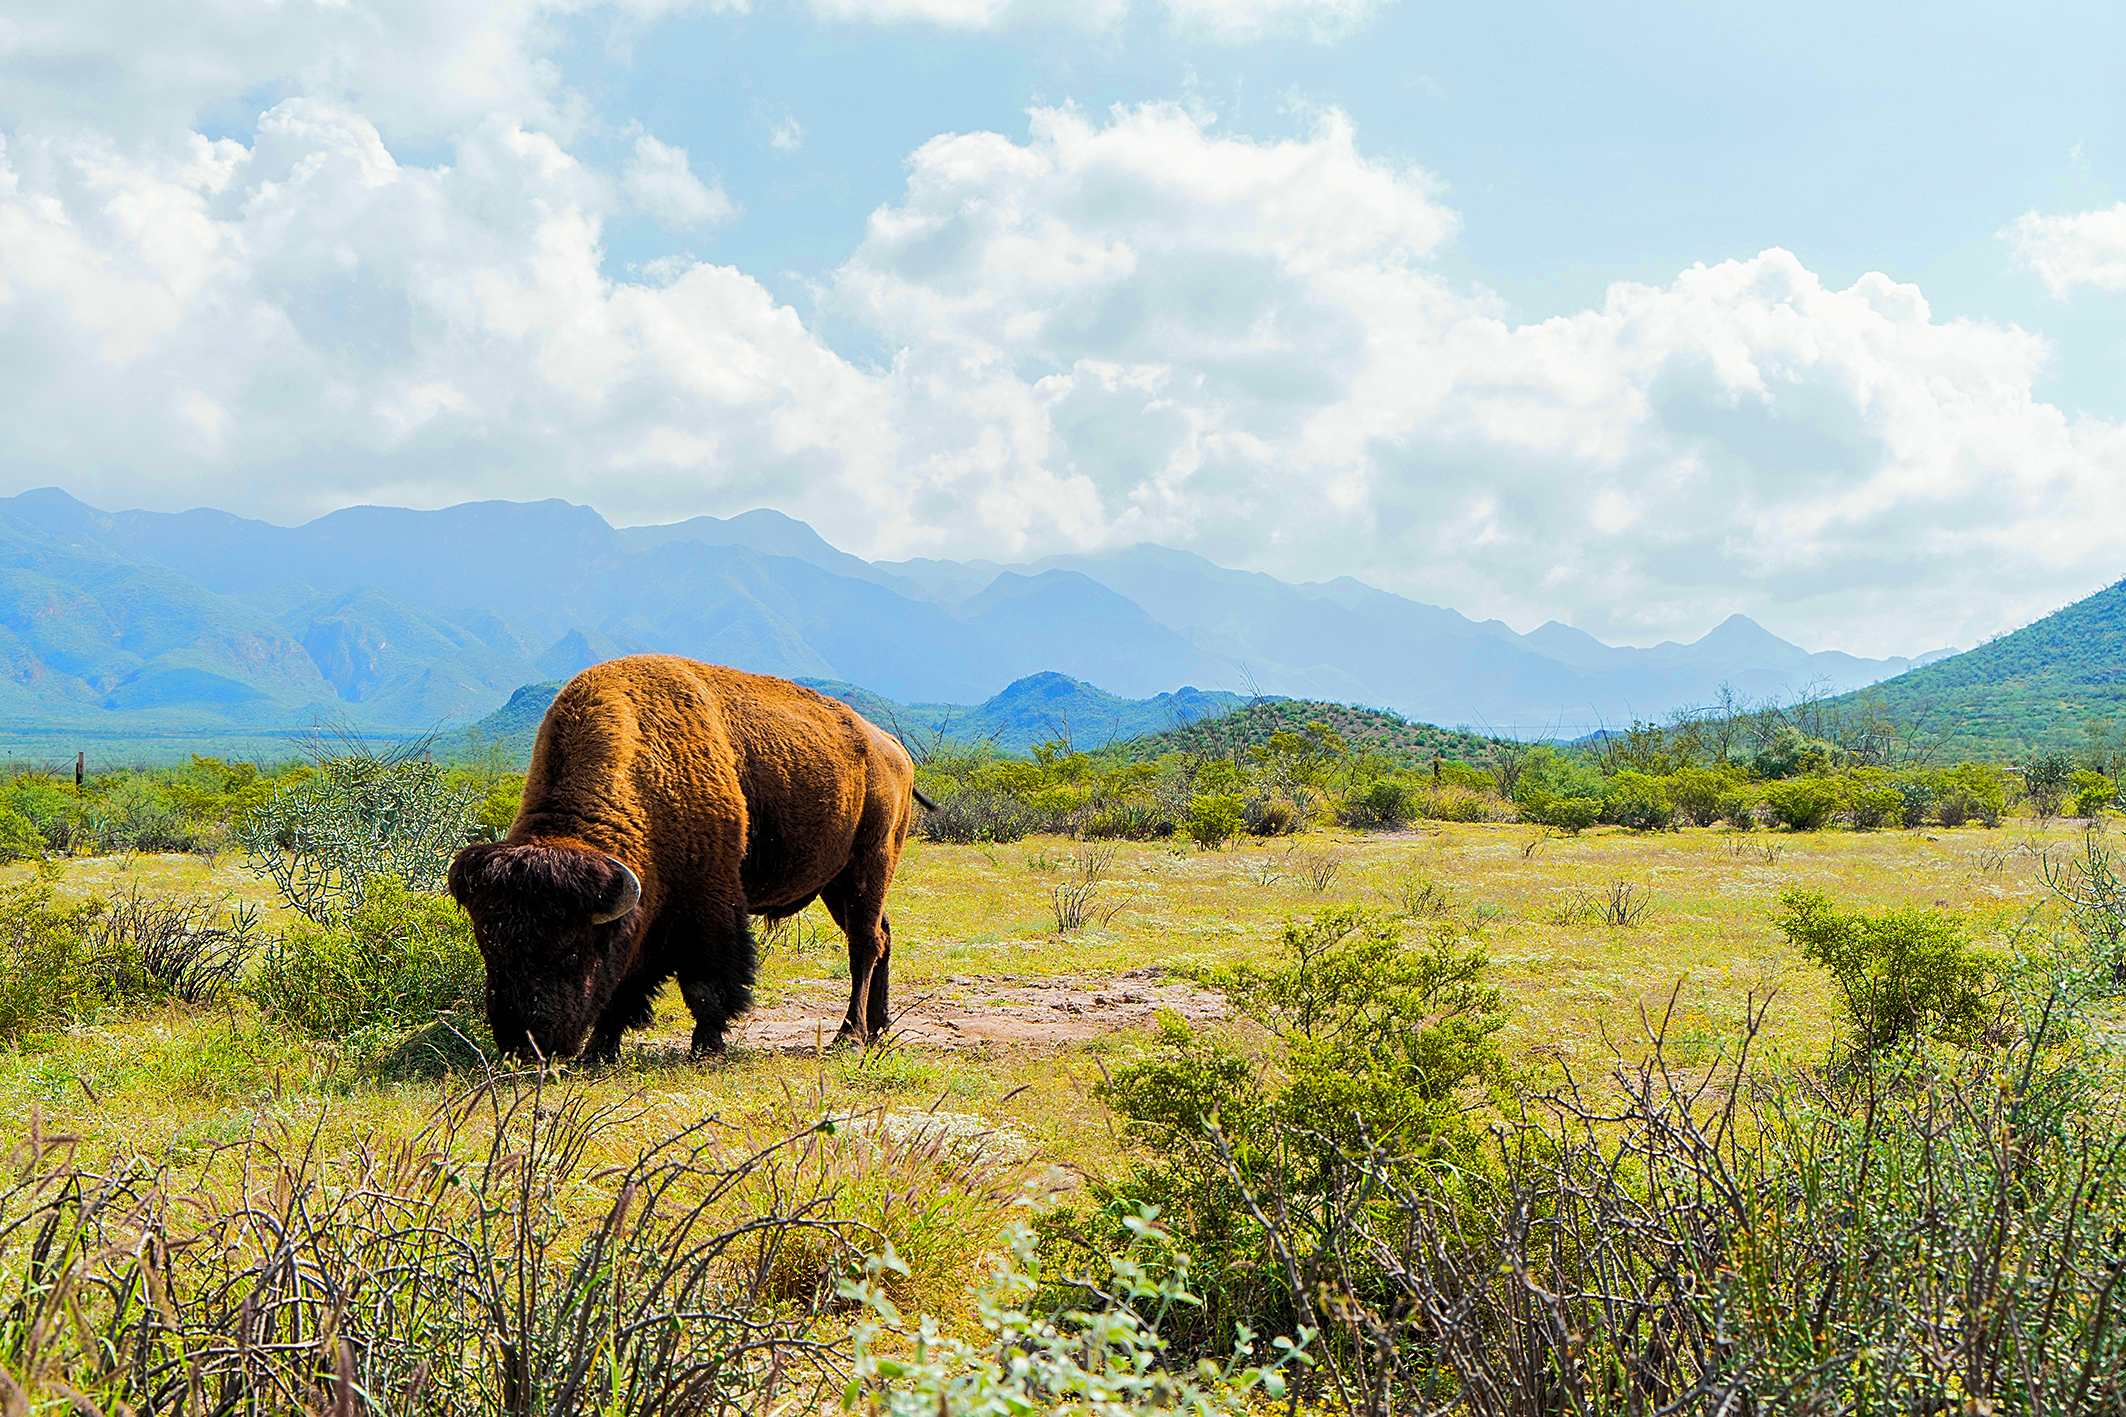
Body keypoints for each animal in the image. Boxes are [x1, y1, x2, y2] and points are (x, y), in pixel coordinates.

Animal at [452, 658, 926, 1062]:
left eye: (571, 950)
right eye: (487, 946)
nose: (524, 1045)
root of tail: (893, 749)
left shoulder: (709, 902)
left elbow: (705, 983)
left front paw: (706, 1046)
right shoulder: (647, 912)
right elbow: (626, 984)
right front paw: (599, 1052)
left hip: (870, 865)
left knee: (864, 943)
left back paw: (850, 1036)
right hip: (835, 884)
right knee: (882, 935)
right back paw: (879, 1028)